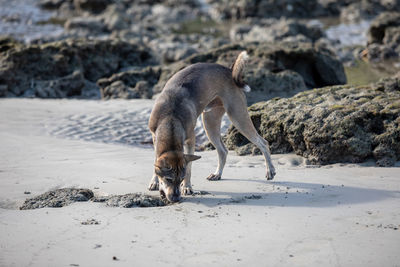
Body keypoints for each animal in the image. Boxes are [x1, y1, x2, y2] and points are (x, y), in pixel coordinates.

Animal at [147, 51, 276, 203]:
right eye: (168, 179)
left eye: (180, 179)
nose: (176, 198)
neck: (170, 118)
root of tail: (229, 71)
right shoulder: (154, 138)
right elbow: (156, 161)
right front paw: (155, 181)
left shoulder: (190, 140)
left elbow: (189, 167)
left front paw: (187, 187)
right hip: (210, 122)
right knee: (223, 151)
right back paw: (217, 174)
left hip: (238, 118)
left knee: (263, 142)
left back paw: (270, 170)